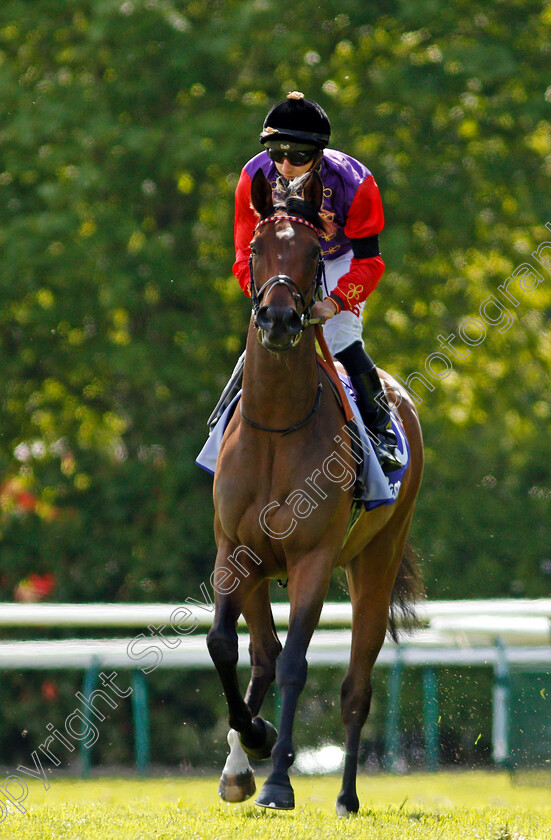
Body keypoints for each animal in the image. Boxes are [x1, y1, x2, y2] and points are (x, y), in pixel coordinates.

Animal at [205, 167, 424, 816]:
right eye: (256, 248)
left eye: (310, 254)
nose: (278, 321)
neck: (278, 426)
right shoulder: (233, 550)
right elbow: (225, 645)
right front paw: (252, 743)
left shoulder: (313, 558)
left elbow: (300, 666)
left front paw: (278, 779)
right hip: (258, 569)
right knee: (261, 655)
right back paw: (239, 762)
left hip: (376, 560)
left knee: (355, 686)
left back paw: (346, 795)